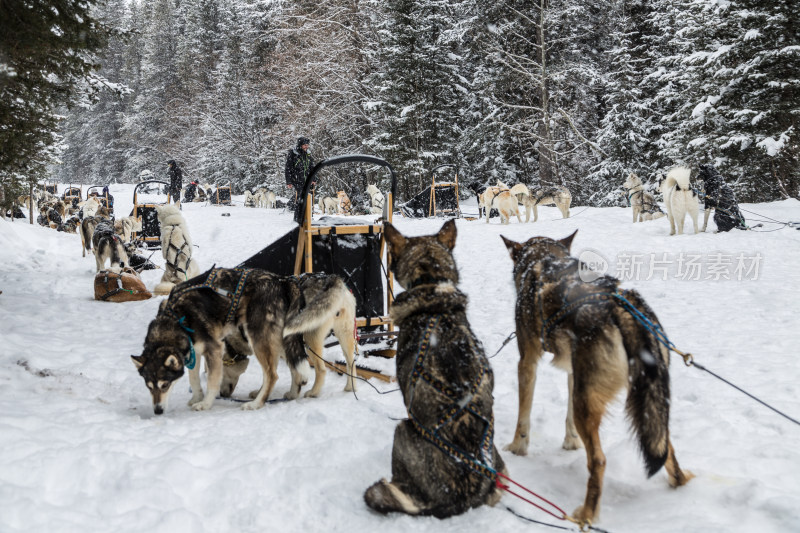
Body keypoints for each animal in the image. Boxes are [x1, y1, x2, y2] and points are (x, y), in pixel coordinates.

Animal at [130, 268, 354, 414]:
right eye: (149, 386)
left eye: (164, 385)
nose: (158, 411)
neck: (177, 318)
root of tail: (283, 281)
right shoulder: (194, 351)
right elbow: (194, 379)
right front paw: (196, 397)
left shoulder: (213, 349)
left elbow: (211, 381)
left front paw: (206, 403)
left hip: (262, 338)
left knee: (273, 374)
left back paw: (257, 403)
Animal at [500, 231, 692, 520]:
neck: (545, 258)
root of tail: (621, 307)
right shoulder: (573, 372)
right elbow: (567, 418)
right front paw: (570, 442)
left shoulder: (527, 361)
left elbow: (523, 418)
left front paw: (517, 448)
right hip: (636, 404)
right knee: (666, 449)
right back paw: (679, 483)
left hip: (586, 402)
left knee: (599, 461)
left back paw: (586, 515)